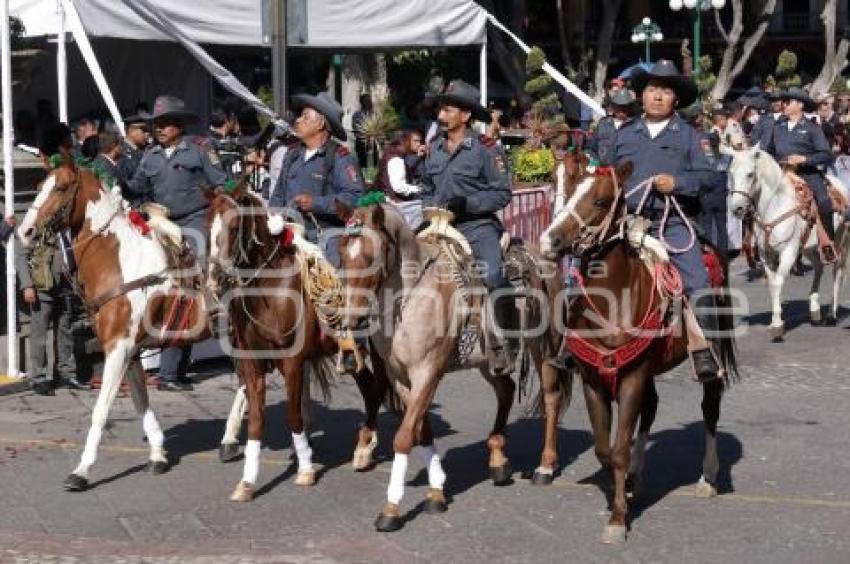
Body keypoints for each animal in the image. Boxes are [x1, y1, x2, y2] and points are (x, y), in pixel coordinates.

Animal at [17, 162, 209, 490]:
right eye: (40, 185)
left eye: (61, 188)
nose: (24, 231)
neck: (122, 262)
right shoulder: (129, 348)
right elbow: (141, 400)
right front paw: (157, 454)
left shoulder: (118, 347)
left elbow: (101, 409)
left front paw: (82, 470)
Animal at [204, 189, 390, 502]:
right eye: (207, 224)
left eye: (235, 226)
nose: (214, 280)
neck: (270, 291)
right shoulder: (252, 362)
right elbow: (256, 418)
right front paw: (247, 481)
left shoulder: (290, 362)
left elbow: (293, 415)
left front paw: (305, 469)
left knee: (374, 390)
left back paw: (364, 448)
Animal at [332, 200, 568, 532]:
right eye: (342, 252)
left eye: (371, 255)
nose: (350, 319)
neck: (410, 298)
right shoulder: (400, 377)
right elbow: (422, 431)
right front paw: (436, 492)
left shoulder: (428, 372)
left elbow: (404, 436)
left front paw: (391, 509)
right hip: (487, 360)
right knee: (506, 390)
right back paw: (498, 460)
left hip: (544, 347)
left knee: (551, 397)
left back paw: (544, 467)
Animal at [540, 162, 740, 540]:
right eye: (568, 189)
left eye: (601, 201)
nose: (550, 241)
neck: (614, 298)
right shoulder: (595, 381)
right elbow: (605, 449)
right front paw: (624, 493)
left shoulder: (632, 376)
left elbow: (619, 448)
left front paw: (618, 520)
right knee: (651, 409)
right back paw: (636, 475)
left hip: (710, 356)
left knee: (710, 408)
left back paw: (707, 478)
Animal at [724, 147, 848, 340]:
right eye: (730, 173)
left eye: (750, 174)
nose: (737, 208)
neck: (774, 205)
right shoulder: (766, 256)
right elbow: (772, 285)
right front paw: (776, 321)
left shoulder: (789, 251)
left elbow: (777, 283)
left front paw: (777, 325)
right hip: (809, 247)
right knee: (819, 267)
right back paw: (814, 310)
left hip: (839, 244)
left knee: (837, 273)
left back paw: (831, 316)